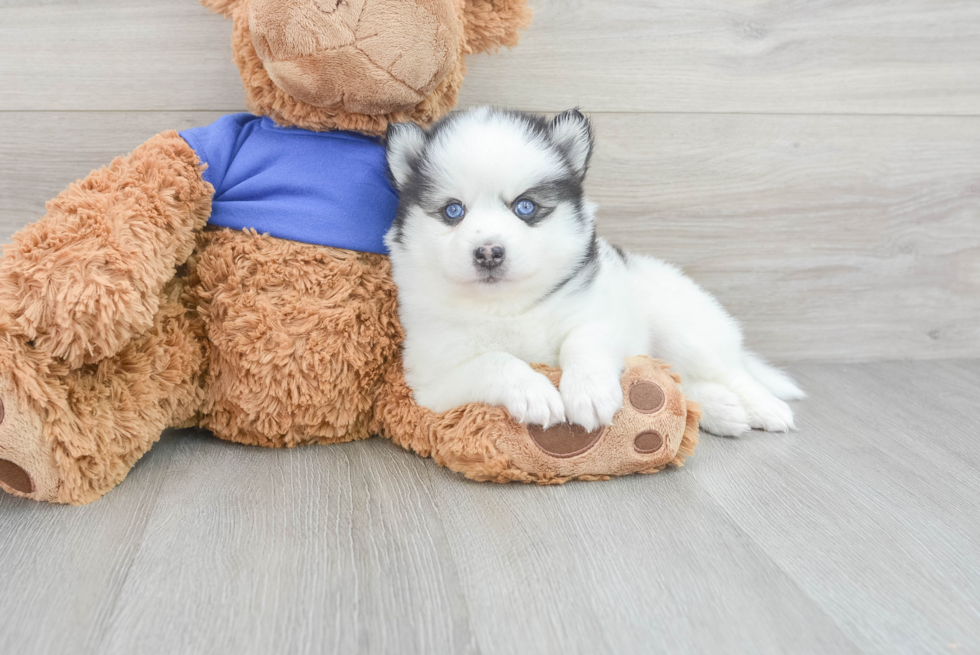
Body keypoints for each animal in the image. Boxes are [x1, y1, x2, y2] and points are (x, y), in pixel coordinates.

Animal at [382, 106, 804, 436]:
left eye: (525, 207)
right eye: (453, 211)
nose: (488, 253)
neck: (509, 306)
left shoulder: (601, 314)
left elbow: (582, 342)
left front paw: (589, 392)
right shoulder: (432, 378)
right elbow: (494, 361)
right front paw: (533, 391)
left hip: (682, 325)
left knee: (729, 371)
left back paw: (764, 407)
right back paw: (724, 410)